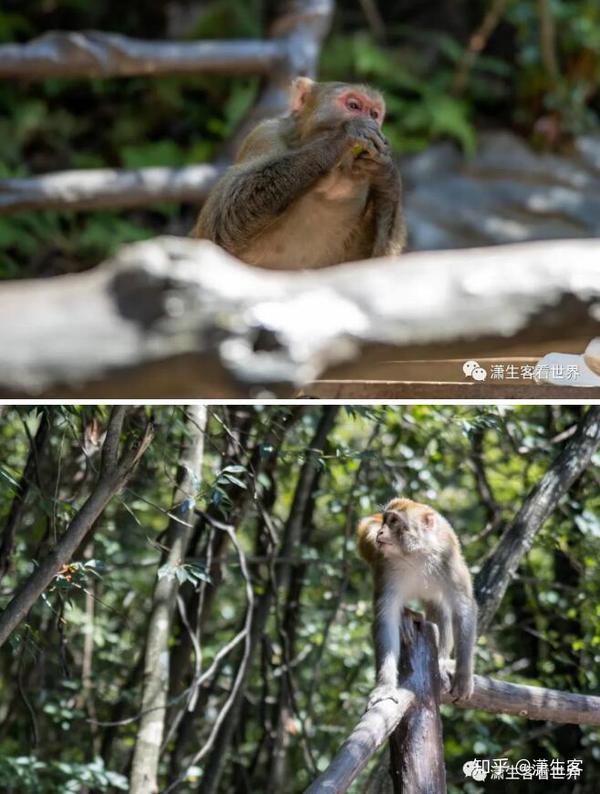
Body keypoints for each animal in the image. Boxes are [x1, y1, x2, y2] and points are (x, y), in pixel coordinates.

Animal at [191, 77, 408, 270]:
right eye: (354, 106)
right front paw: (342, 138)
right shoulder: (263, 135)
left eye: (374, 113)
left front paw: (386, 171)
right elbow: (220, 227)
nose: (371, 120)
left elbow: (369, 265)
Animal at [356, 498, 478, 704]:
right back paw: (407, 616)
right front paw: (385, 686)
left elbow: (463, 609)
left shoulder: (448, 559)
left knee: (440, 607)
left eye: (394, 521)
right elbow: (386, 619)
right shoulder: (386, 569)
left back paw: (441, 660)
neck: (415, 554)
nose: (381, 532)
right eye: (385, 520)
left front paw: (463, 677)